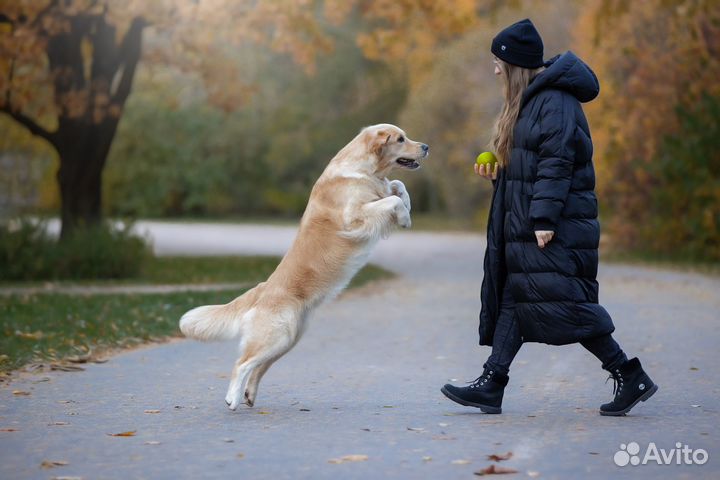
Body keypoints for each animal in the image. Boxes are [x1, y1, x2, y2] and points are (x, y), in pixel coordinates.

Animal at [179, 124, 428, 408]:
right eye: (400, 139)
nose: (426, 147)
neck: (365, 171)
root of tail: (263, 288)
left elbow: (398, 185)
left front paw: (407, 207)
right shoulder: (353, 218)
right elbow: (391, 200)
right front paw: (404, 216)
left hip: (288, 340)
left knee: (256, 367)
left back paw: (249, 395)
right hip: (276, 337)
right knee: (241, 363)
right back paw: (232, 398)